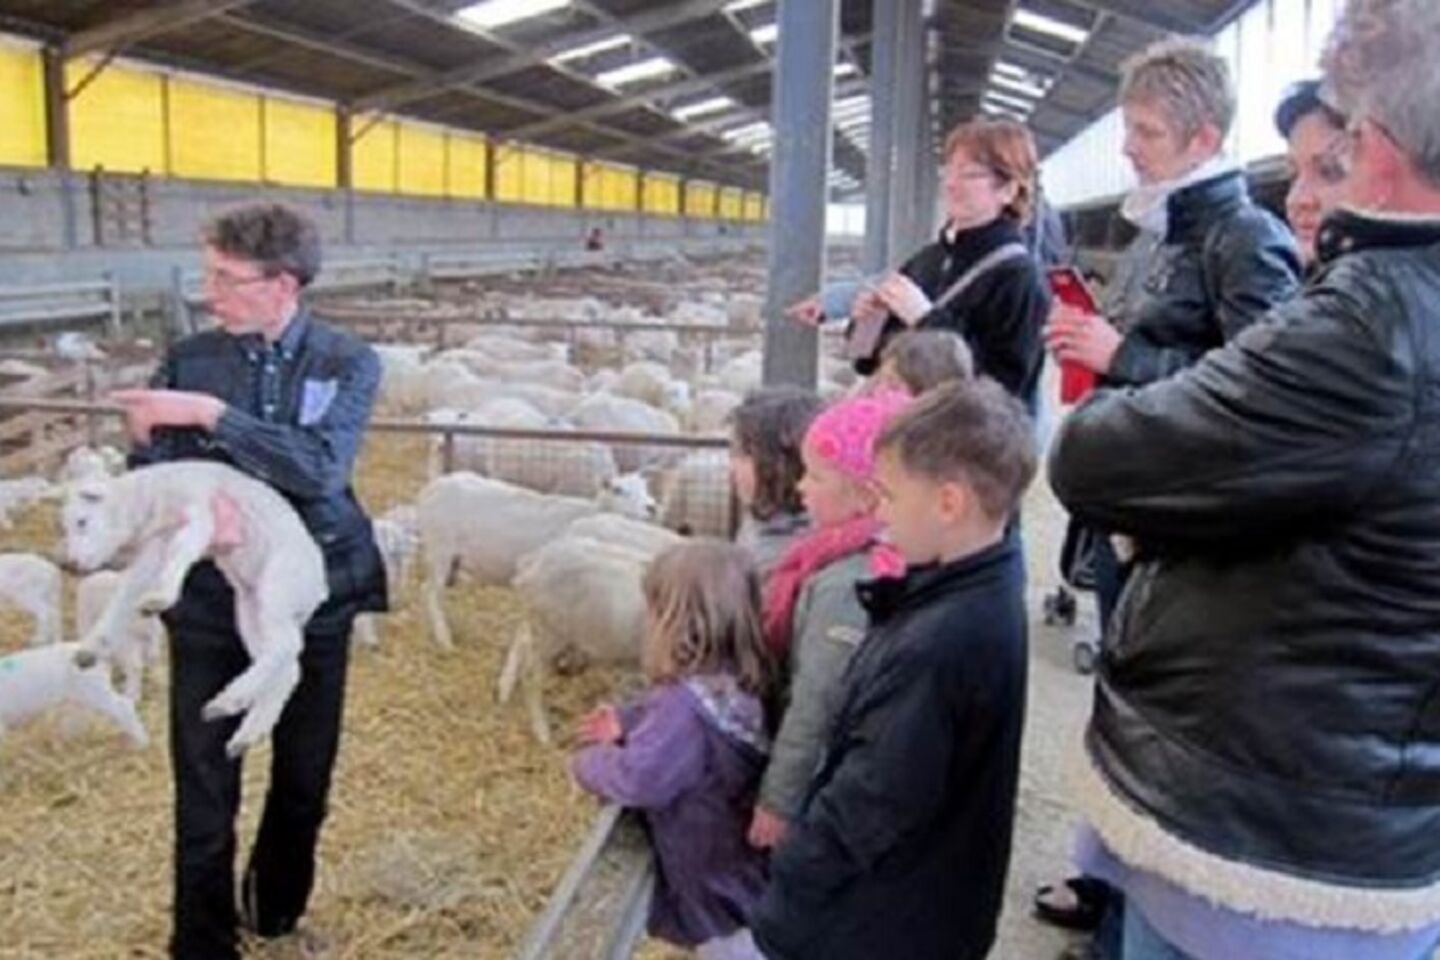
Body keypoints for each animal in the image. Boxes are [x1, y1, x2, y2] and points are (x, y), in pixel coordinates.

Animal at [62, 460, 329, 759]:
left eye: (82, 521)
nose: (69, 564)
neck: (154, 499)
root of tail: (318, 587)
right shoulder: (155, 547)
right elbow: (126, 594)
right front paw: (92, 647)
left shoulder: (199, 510)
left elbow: (182, 551)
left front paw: (161, 598)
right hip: (250, 608)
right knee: (289, 669)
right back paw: (246, 733)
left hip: (279, 588)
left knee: (286, 646)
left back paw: (230, 699)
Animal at [414, 472, 656, 650]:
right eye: (618, 490)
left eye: (645, 488)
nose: (651, 507)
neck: (588, 512)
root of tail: (433, 487)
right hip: (440, 547)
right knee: (429, 591)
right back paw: (444, 639)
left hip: (452, 557)